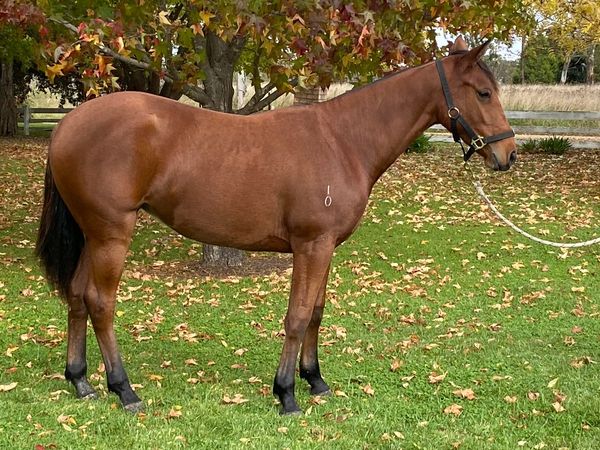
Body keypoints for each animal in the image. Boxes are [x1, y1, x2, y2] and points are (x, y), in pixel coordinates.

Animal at [36, 37, 516, 415]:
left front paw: (315, 380)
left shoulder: (326, 247)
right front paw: (286, 394)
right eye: (483, 93)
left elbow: (317, 312)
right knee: (100, 303)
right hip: (111, 235)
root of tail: (67, 125)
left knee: (76, 296)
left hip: (92, 235)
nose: (507, 155)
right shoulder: (311, 245)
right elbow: (298, 316)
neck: (342, 140)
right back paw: (124, 390)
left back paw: (81, 381)